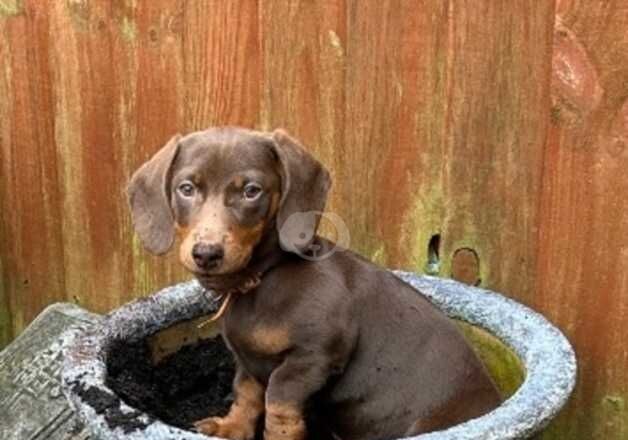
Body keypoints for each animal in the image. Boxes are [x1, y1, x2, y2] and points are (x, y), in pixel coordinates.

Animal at [127, 126, 500, 440]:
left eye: (251, 191)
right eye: (186, 189)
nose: (206, 253)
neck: (262, 280)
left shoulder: (315, 355)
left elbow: (277, 400)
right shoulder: (248, 360)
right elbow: (246, 394)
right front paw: (231, 428)